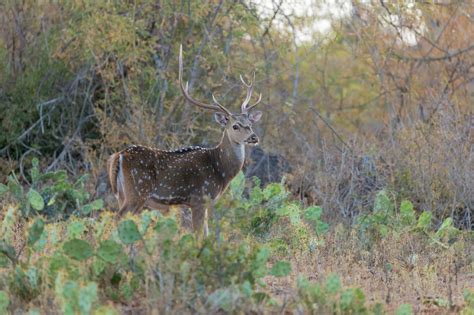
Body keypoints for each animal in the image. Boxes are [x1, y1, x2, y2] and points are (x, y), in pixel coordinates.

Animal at [107, 45, 262, 237]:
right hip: (137, 191)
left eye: (250, 124)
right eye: (235, 126)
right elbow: (198, 235)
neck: (220, 170)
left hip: (122, 194)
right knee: (116, 219)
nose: (254, 137)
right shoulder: (199, 198)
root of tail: (118, 156)